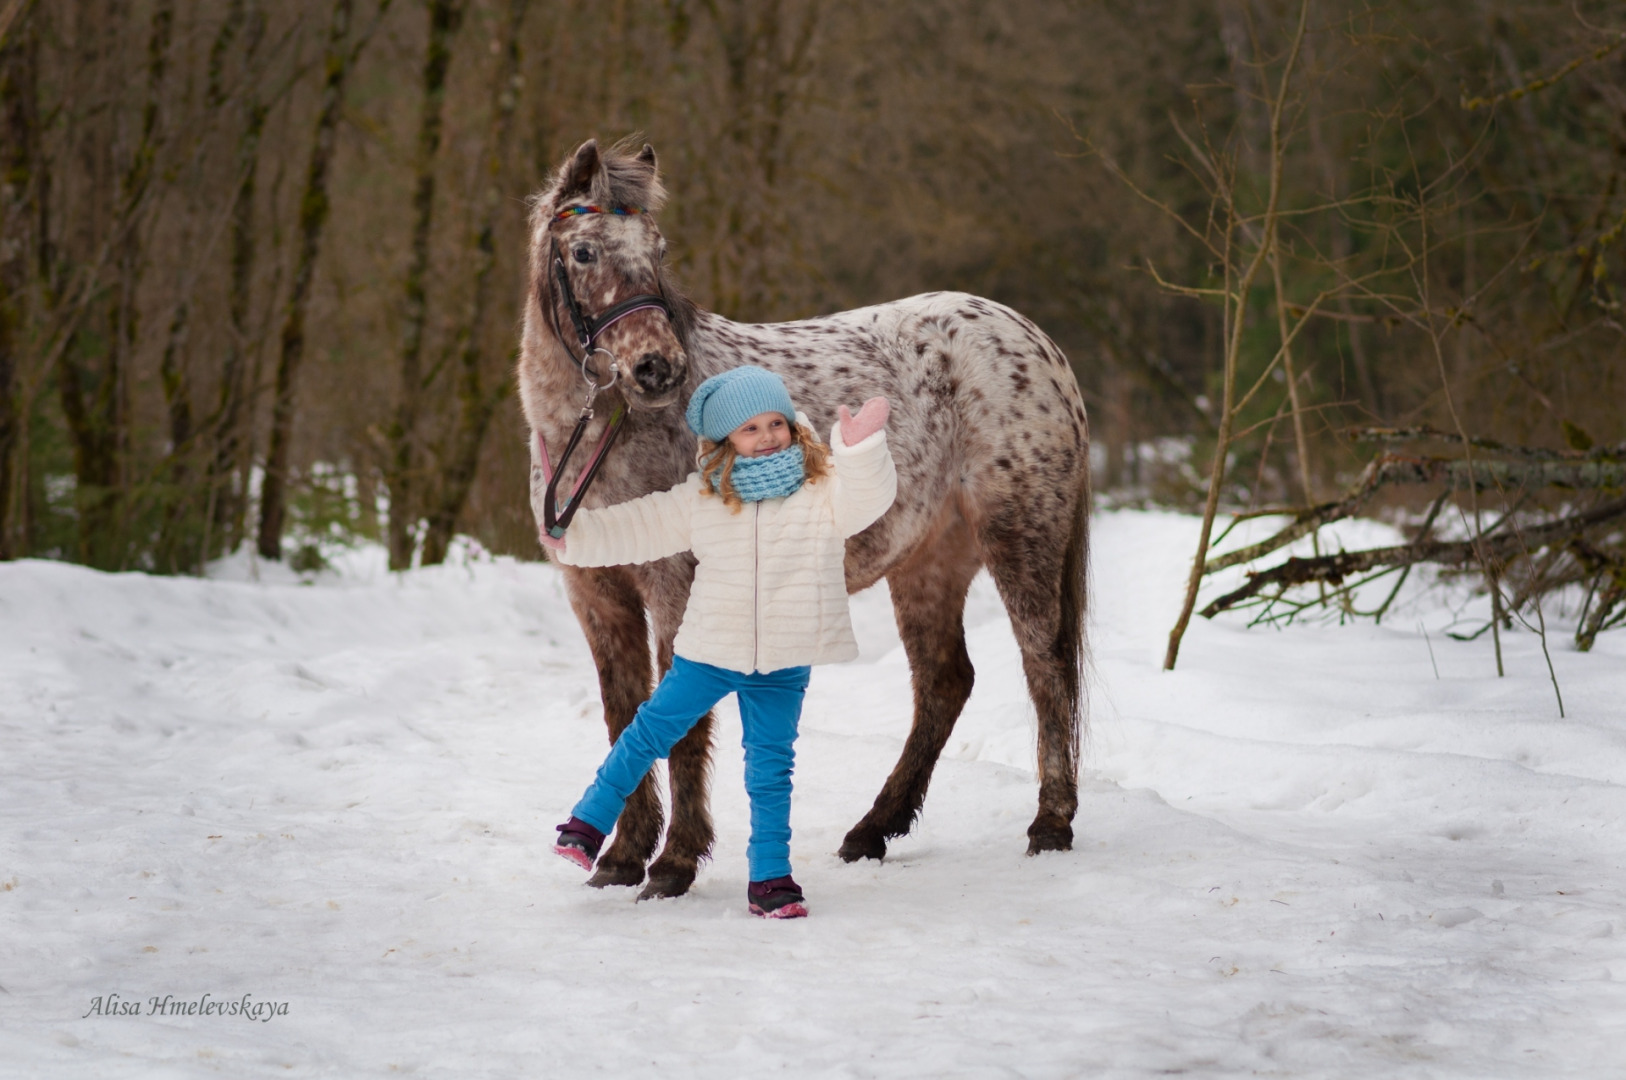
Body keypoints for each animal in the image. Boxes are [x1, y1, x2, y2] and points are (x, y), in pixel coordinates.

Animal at [520, 139, 1092, 897]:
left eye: (659, 250)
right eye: (582, 252)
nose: (657, 368)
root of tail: (1036, 342)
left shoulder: (676, 591)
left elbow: (679, 720)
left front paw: (672, 864)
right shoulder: (597, 596)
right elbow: (624, 711)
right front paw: (621, 858)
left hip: (1019, 536)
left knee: (1043, 662)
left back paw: (1050, 823)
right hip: (928, 563)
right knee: (945, 682)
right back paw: (871, 830)